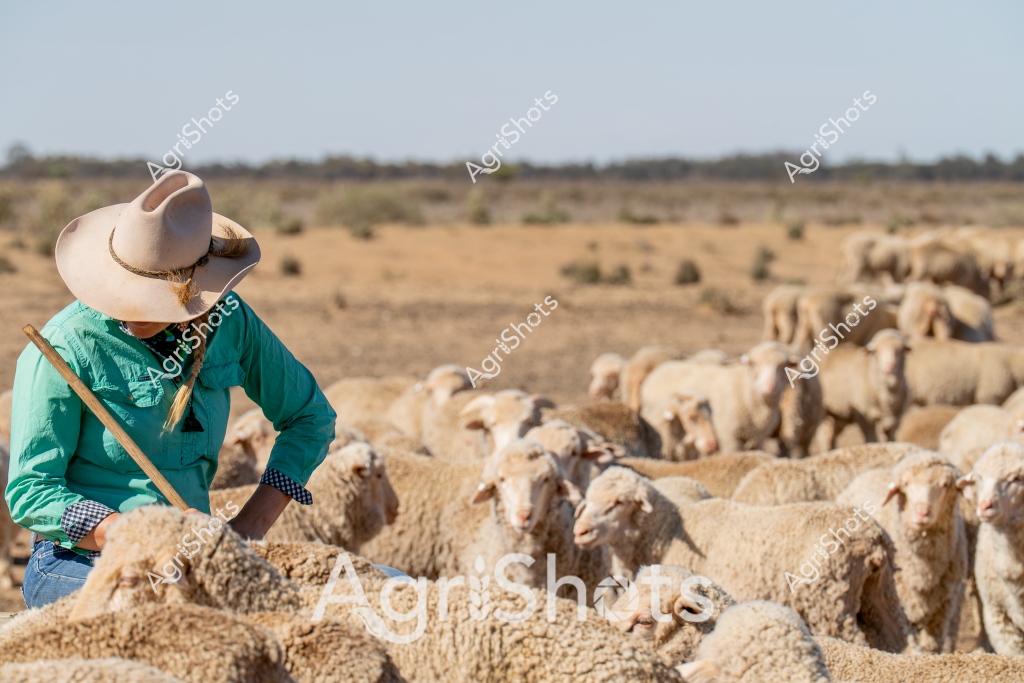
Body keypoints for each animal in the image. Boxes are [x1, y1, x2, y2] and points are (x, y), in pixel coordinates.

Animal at [574, 466, 910, 652]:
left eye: (618, 503)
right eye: (587, 498)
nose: (580, 531)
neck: (666, 532)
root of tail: (872, 536)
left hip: (830, 602)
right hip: (880, 593)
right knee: (899, 639)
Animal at [640, 342, 795, 453]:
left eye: (783, 365)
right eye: (755, 364)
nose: (771, 386)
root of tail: (662, 368)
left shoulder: (759, 438)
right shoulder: (728, 437)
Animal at [836, 452, 968, 653]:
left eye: (945, 485)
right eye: (906, 485)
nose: (922, 513)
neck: (925, 570)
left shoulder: (943, 610)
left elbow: (933, 645)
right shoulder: (902, 604)